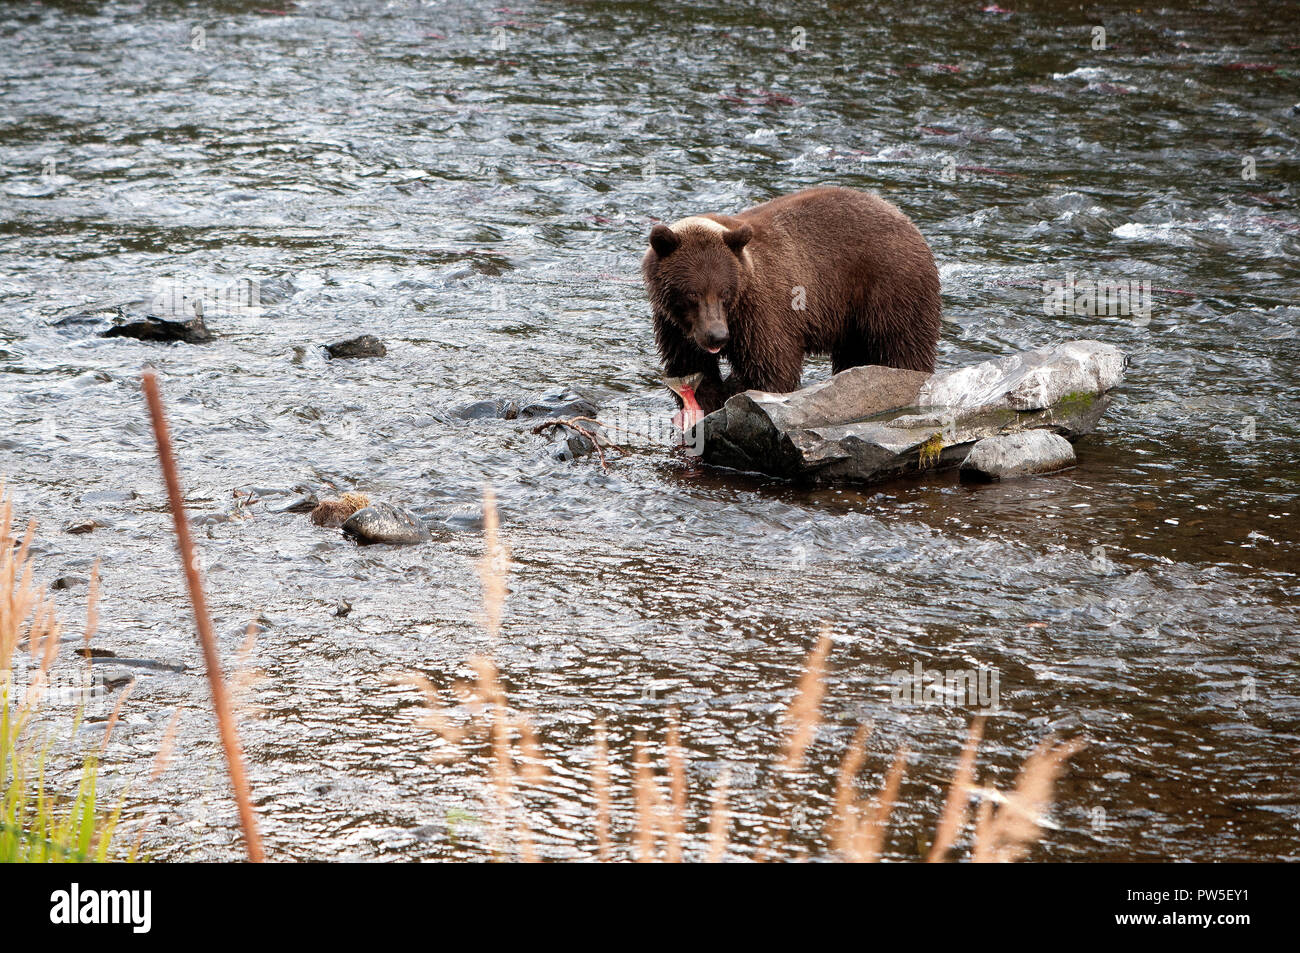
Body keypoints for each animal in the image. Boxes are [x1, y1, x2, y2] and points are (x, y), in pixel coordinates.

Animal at [641, 186, 941, 417]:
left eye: (724, 291)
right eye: (692, 293)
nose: (717, 336)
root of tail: (908, 221)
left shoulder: (763, 311)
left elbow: (771, 368)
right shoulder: (674, 326)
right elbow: (691, 368)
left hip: (890, 288)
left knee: (902, 347)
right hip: (853, 319)